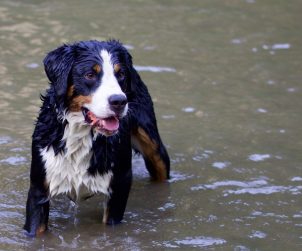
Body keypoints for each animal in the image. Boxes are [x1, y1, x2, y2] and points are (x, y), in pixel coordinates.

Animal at [23, 40, 170, 236]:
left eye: (120, 74)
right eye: (90, 74)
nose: (119, 101)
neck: (82, 135)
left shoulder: (119, 185)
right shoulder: (39, 188)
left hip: (155, 149)